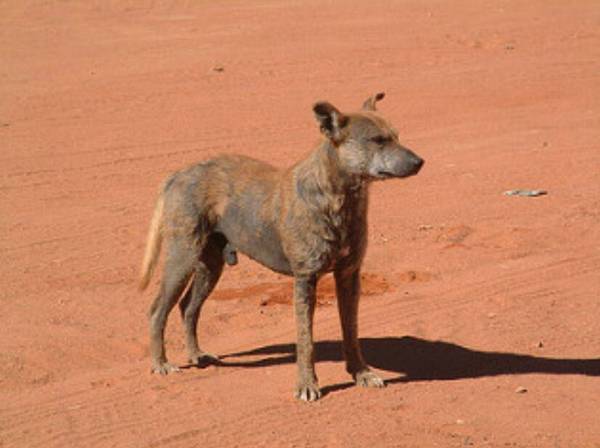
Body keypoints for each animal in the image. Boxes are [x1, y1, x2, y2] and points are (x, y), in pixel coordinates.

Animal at [138, 93, 424, 400]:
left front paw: (361, 373)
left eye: (396, 136)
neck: (339, 198)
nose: (420, 161)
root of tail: (178, 174)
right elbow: (306, 341)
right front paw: (307, 385)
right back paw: (161, 363)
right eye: (377, 140)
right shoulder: (305, 279)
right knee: (157, 310)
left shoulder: (349, 276)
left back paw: (196, 355)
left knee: (187, 308)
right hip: (182, 259)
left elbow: (352, 331)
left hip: (210, 266)